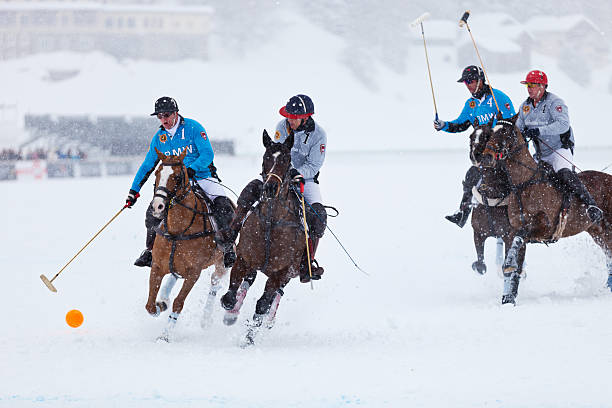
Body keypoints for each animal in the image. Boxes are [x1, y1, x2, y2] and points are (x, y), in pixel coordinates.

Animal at [146, 148, 230, 340]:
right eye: (157, 173)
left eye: (177, 177)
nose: (157, 206)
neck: (178, 230)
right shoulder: (157, 265)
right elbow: (150, 305)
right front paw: (160, 304)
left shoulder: (194, 272)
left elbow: (179, 302)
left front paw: (165, 335)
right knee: (175, 274)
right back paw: (164, 298)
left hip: (221, 261)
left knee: (215, 281)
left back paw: (206, 319)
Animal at [220, 129, 306, 346]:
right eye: (266, 158)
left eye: (287, 159)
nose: (270, 188)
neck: (271, 222)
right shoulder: (244, 258)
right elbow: (230, 295)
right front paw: (230, 312)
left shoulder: (281, 271)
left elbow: (262, 304)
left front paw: (248, 338)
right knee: (248, 282)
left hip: (289, 273)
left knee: (275, 296)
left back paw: (269, 319)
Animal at [478, 115, 612, 302]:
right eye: (491, 131)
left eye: (505, 131)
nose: (486, 158)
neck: (524, 183)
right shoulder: (512, 231)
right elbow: (515, 266)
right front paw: (508, 299)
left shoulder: (544, 228)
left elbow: (519, 241)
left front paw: (509, 264)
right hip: (598, 231)